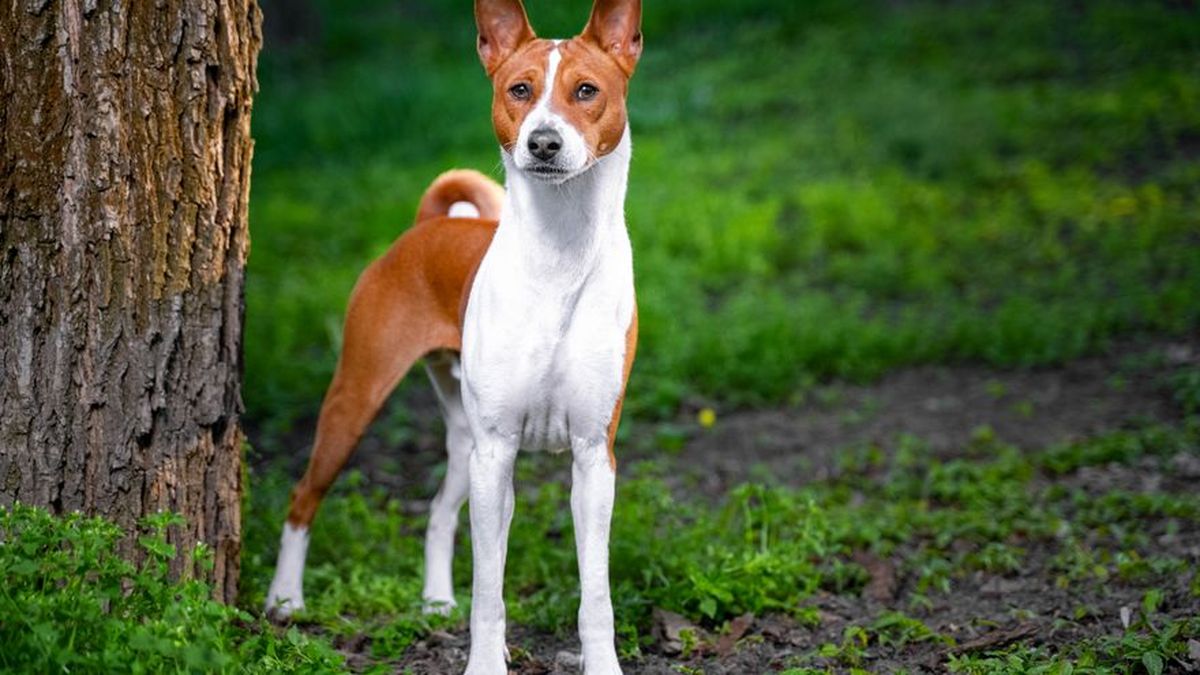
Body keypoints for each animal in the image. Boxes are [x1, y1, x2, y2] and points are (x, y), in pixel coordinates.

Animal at [266, 1, 643, 667]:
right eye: (519, 90)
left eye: (586, 91)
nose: (543, 142)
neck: (560, 253)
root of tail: (426, 227)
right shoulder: (497, 454)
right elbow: (489, 592)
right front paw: (485, 666)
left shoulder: (593, 457)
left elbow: (595, 596)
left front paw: (603, 666)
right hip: (356, 401)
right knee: (303, 498)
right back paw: (285, 600)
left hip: (464, 439)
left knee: (440, 513)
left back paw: (436, 601)